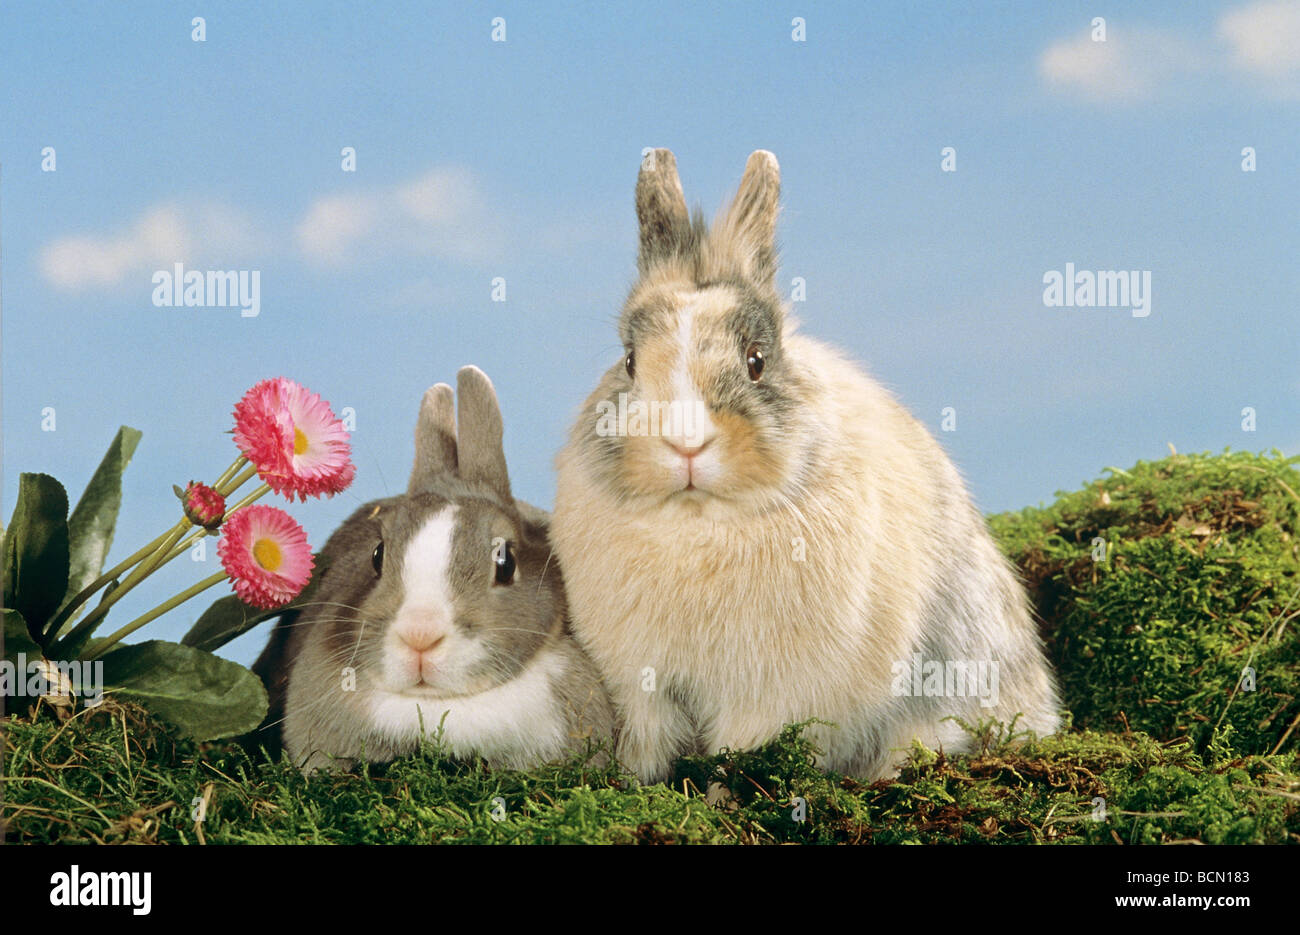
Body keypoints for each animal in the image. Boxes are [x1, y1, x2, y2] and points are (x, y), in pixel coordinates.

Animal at [551, 149, 1061, 784]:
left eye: (756, 361)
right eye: (628, 361)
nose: (686, 444)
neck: (698, 521)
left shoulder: (767, 696)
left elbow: (741, 750)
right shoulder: (642, 688)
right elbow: (648, 749)